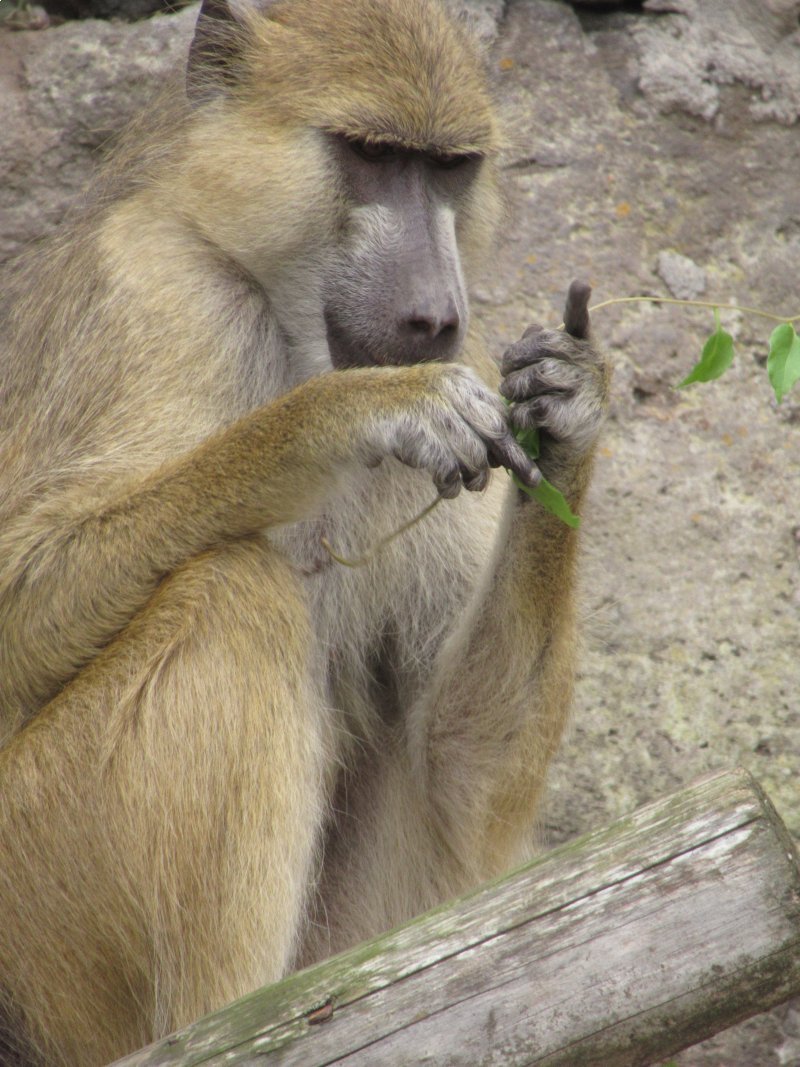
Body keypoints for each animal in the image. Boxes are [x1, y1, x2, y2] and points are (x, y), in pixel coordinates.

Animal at [0, 0, 609, 1063]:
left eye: (447, 168)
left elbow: (460, 765)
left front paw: (567, 405)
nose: (433, 314)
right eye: (370, 155)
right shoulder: (153, 297)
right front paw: (348, 414)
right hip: (38, 914)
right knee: (231, 592)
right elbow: (17, 601)